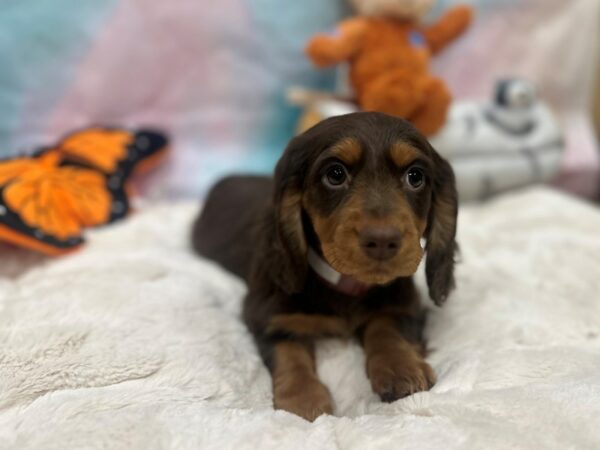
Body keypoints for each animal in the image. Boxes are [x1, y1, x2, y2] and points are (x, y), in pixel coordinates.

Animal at [195, 111, 458, 422]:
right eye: (335, 174)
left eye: (415, 176)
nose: (383, 240)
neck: (346, 282)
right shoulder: (267, 313)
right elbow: (289, 350)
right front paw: (303, 399)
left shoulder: (403, 304)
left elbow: (387, 327)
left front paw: (401, 368)